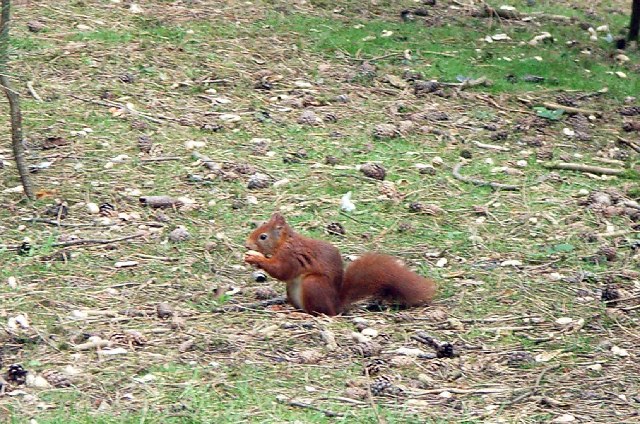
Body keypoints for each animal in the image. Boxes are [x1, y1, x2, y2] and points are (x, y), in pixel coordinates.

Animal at [244, 212, 436, 314]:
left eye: (263, 236)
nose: (247, 245)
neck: (284, 242)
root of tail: (336, 304)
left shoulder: (291, 255)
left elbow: (281, 270)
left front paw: (256, 258)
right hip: (292, 289)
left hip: (313, 284)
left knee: (321, 313)